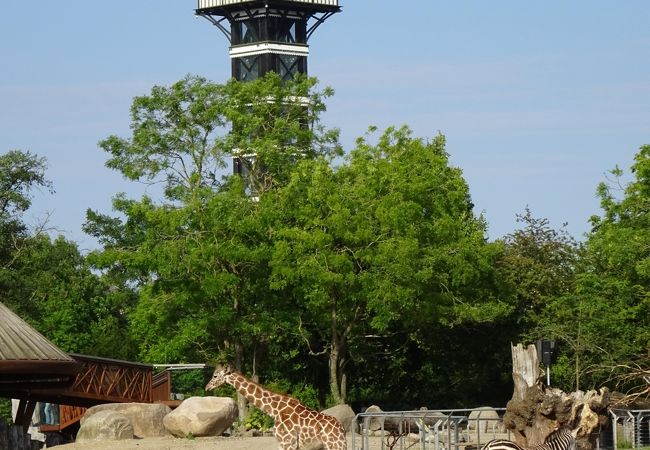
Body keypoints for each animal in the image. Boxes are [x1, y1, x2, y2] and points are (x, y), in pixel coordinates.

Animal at [206, 366, 350, 450]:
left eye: (215, 375)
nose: (207, 387)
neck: (274, 410)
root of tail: (342, 429)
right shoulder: (282, 443)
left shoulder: (288, 442)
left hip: (334, 445)